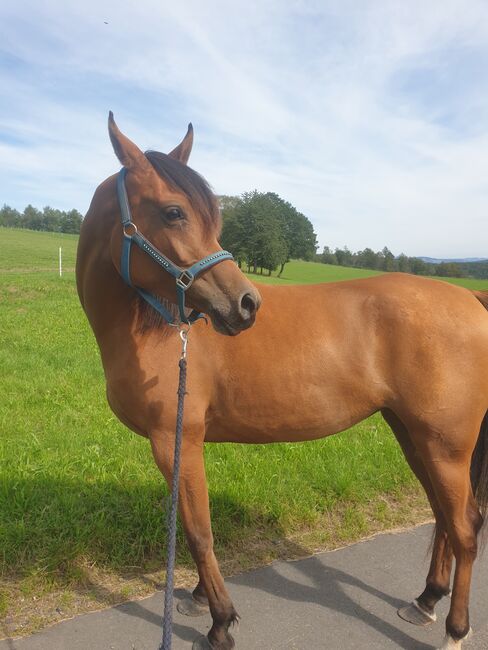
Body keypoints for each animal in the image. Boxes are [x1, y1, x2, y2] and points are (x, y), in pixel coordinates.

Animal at [77, 114, 488, 644]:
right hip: (413, 434)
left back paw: (456, 629)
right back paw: (426, 600)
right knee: (442, 516)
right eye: (173, 212)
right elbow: (199, 525)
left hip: (445, 445)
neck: (157, 329)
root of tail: (470, 298)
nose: (246, 304)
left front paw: (220, 621)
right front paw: (202, 599)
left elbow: (198, 531)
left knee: (465, 526)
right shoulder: (184, 444)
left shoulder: (174, 439)